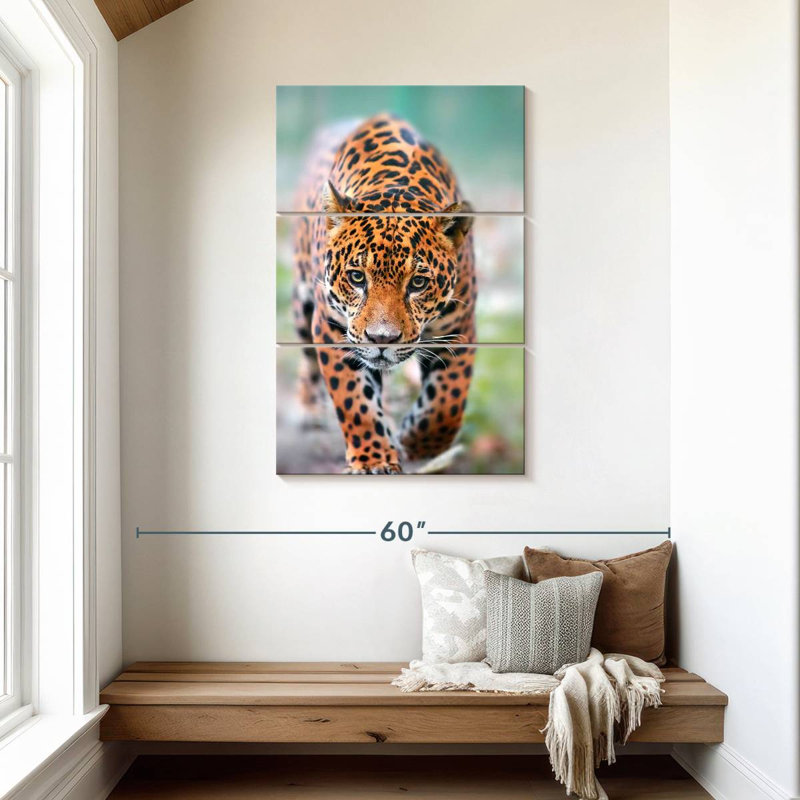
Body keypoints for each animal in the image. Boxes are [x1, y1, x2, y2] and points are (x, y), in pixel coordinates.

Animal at [290, 113, 477, 474]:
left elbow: (447, 402)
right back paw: (308, 409)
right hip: (302, 304)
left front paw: (416, 443)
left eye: (417, 283)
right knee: (306, 357)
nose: (382, 340)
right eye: (356, 277)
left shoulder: (459, 329)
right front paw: (373, 459)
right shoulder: (332, 328)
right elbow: (354, 401)